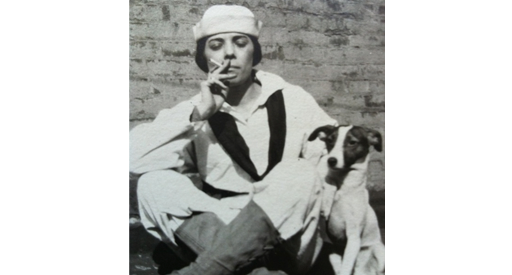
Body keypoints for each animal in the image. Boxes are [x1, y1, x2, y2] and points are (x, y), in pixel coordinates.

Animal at [308, 125, 384, 275]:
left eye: (352, 142)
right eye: (330, 140)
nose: (331, 160)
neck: (343, 189)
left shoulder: (353, 237)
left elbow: (346, 268)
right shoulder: (329, 240)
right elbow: (328, 182)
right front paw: (327, 199)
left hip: (379, 253)